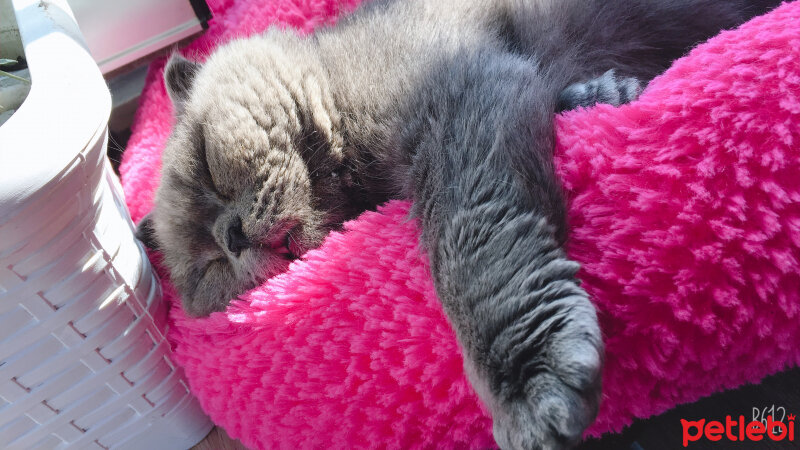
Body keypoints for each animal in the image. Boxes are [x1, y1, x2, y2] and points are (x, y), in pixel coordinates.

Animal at [138, 1, 780, 448]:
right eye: (207, 270)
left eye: (206, 163)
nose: (231, 236)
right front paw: (603, 92)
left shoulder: (457, 100)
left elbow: (475, 241)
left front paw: (529, 380)